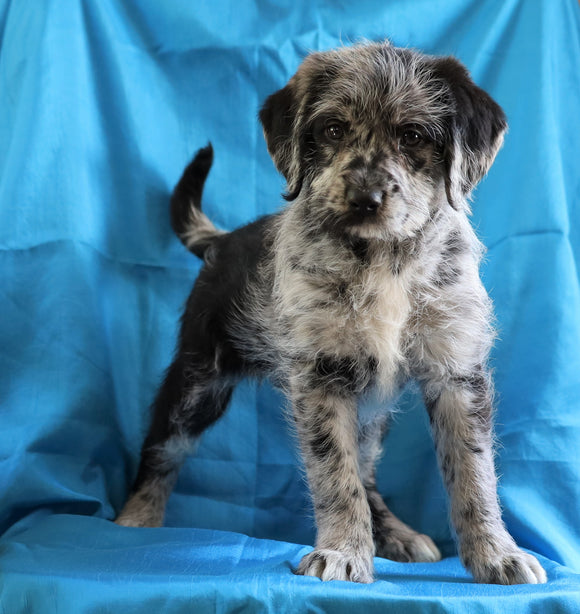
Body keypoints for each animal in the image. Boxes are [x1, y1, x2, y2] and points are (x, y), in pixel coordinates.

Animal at [115, 42, 548, 588]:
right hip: (198, 380)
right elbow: (334, 476)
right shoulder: (321, 376)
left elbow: (473, 472)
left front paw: (497, 554)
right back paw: (136, 517)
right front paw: (343, 553)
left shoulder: (457, 371)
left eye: (413, 135)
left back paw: (397, 534)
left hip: (371, 414)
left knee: (369, 473)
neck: (384, 259)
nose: (365, 199)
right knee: (162, 447)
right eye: (333, 129)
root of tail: (224, 240)